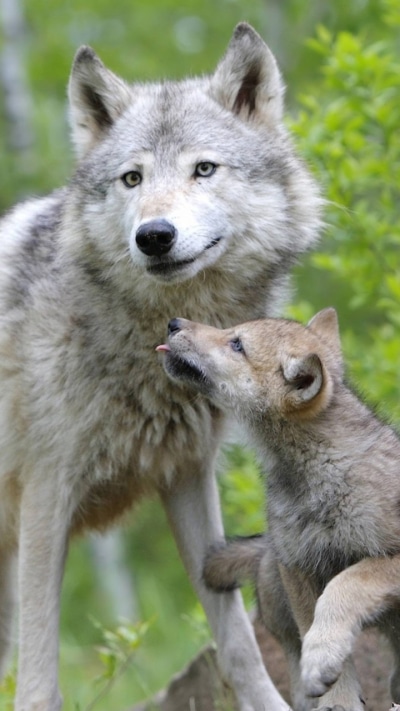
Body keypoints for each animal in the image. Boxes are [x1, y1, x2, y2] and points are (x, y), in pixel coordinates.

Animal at [0, 22, 321, 711]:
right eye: (131, 178)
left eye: (204, 169)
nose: (154, 235)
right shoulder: (46, 495)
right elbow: (39, 679)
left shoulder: (187, 478)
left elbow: (238, 645)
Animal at [157, 309, 400, 711]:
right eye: (231, 333)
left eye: (237, 344)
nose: (173, 322)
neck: (317, 473)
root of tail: (264, 547)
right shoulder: (298, 566)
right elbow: (315, 627)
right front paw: (336, 699)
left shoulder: (382, 561)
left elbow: (346, 584)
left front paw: (323, 662)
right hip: (275, 584)